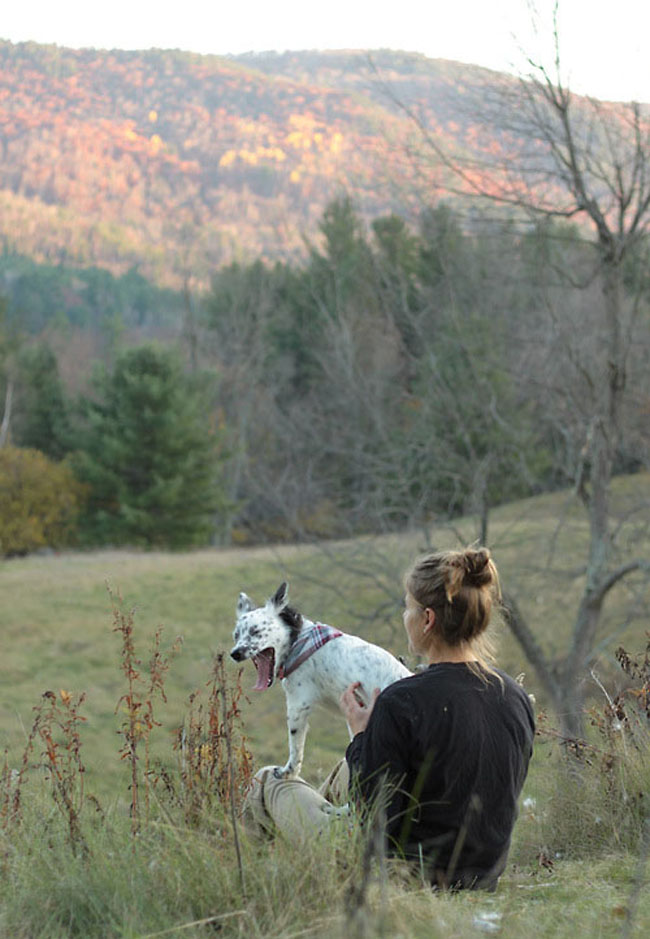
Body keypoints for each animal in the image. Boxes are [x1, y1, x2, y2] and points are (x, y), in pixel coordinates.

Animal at [229, 580, 410, 780]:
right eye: (236, 635)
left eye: (256, 631)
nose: (235, 653)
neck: (297, 641)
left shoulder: (298, 706)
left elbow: (295, 749)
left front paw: (288, 772)